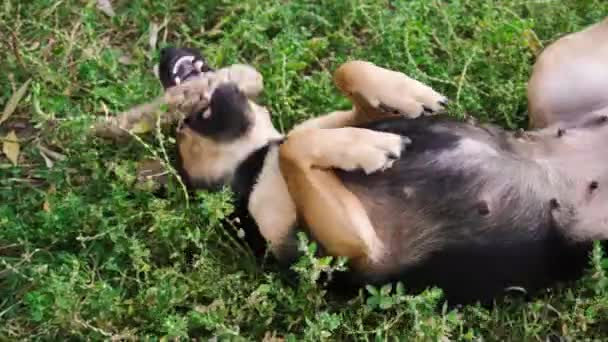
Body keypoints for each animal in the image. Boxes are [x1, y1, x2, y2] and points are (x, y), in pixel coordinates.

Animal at [134, 17, 608, 304]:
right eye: (179, 130)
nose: (164, 54)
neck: (252, 164)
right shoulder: (355, 250)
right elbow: (294, 149)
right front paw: (369, 149)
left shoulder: (338, 122)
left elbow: (346, 74)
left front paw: (405, 92)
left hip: (552, 68)